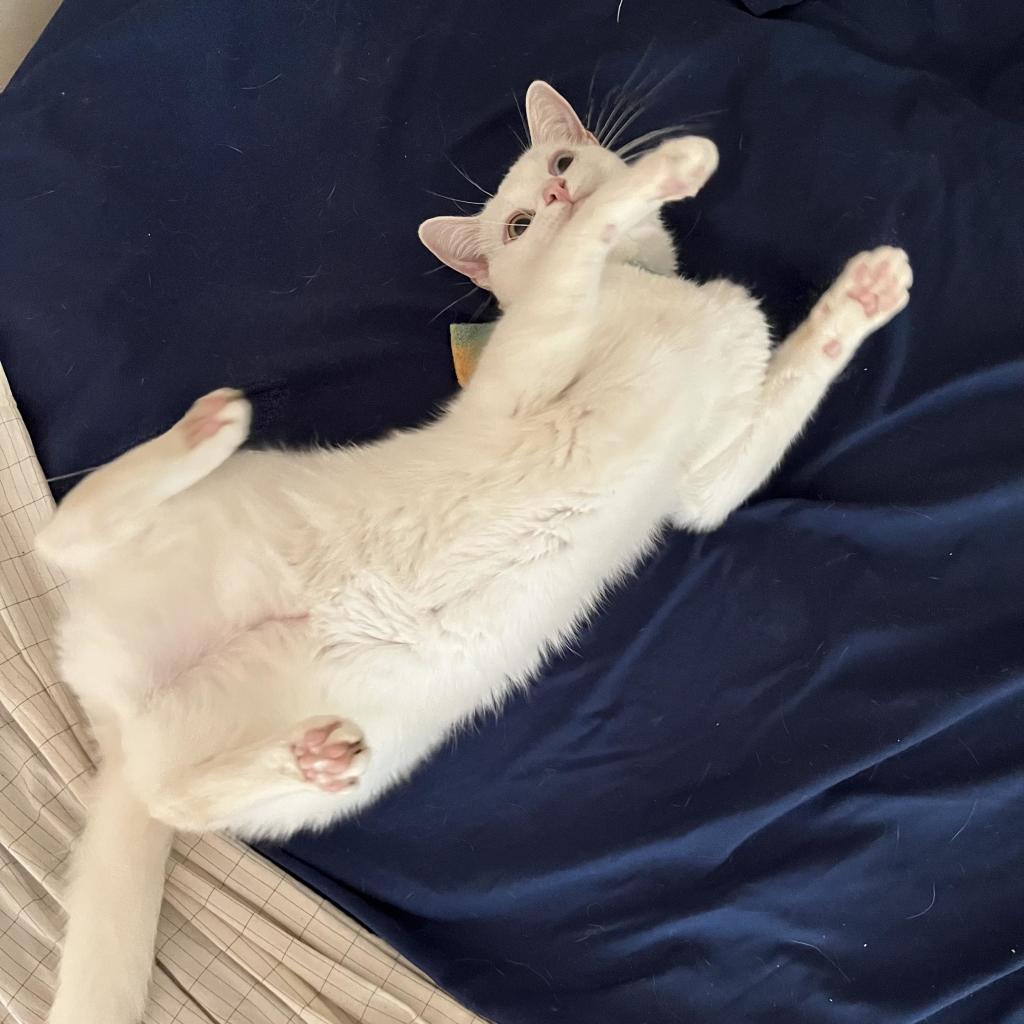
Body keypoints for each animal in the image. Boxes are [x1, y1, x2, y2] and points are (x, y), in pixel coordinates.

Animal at [37, 83, 913, 1024]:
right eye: (521, 224)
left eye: (559, 163)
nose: (559, 194)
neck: (652, 294)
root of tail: (113, 718)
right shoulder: (528, 372)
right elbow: (582, 264)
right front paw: (661, 173)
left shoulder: (705, 482)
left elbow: (783, 399)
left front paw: (861, 297)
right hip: (194, 522)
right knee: (62, 535)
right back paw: (206, 433)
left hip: (329, 743)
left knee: (179, 794)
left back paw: (308, 756)